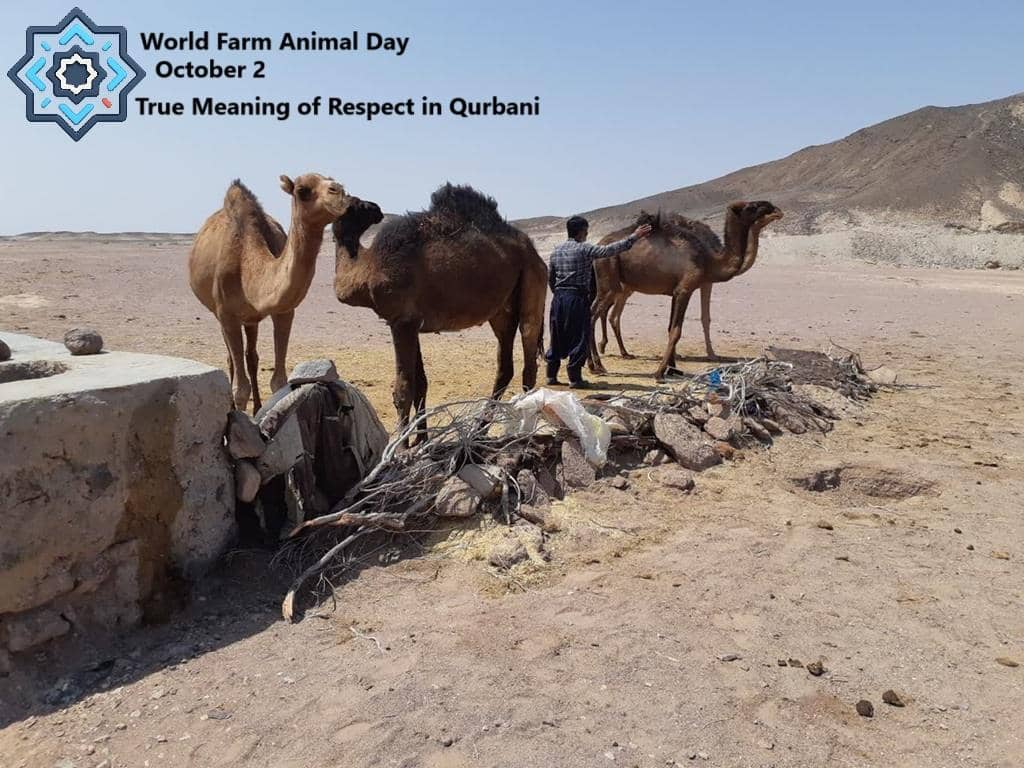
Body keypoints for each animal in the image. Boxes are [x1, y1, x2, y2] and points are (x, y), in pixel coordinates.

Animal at [189, 174, 355, 412]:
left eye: (332, 180)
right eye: (302, 190)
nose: (340, 192)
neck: (247, 265)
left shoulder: (284, 311)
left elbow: (279, 382)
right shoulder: (227, 314)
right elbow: (241, 389)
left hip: (250, 319)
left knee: (251, 357)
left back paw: (258, 406)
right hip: (218, 312)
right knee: (232, 358)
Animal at [332, 183, 548, 437]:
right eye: (355, 203)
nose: (375, 208)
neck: (369, 268)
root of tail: (534, 252)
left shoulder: (402, 322)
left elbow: (403, 389)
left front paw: (403, 444)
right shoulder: (411, 322)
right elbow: (420, 384)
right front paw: (420, 439)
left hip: (532, 286)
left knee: (529, 363)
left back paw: (522, 432)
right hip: (502, 312)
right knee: (505, 367)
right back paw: (479, 430)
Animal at [588, 201, 783, 379]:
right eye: (752, 207)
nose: (777, 210)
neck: (708, 260)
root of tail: (598, 245)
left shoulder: (676, 291)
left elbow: (670, 328)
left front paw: (672, 369)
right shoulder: (686, 289)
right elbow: (676, 331)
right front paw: (659, 372)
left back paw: (596, 363)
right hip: (610, 280)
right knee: (592, 315)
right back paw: (598, 365)